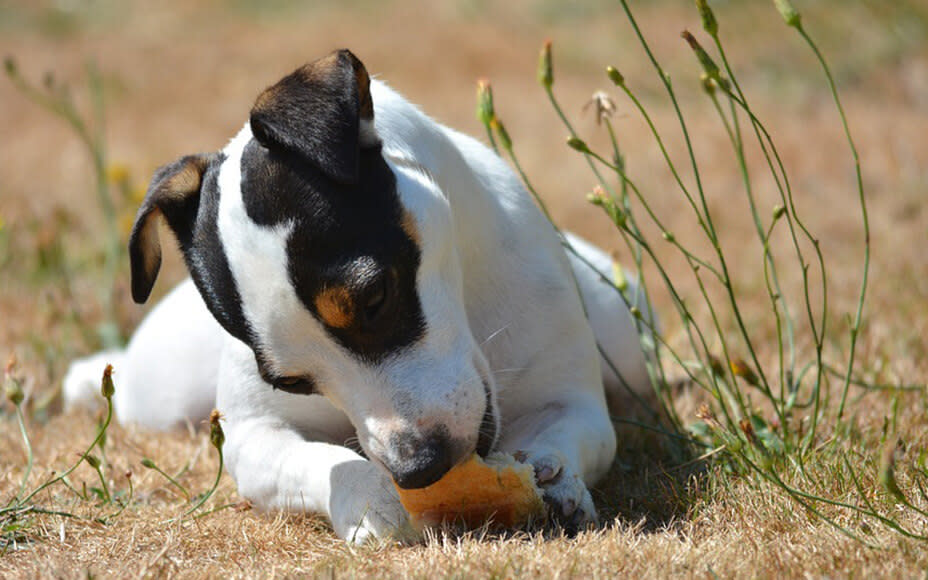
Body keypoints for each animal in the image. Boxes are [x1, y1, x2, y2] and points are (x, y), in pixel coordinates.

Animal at [65, 49, 656, 544]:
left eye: (375, 297)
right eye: (291, 383)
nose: (418, 468)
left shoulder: (573, 402)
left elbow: (569, 433)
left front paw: (555, 476)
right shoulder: (252, 436)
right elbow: (320, 462)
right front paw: (369, 497)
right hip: (161, 394)